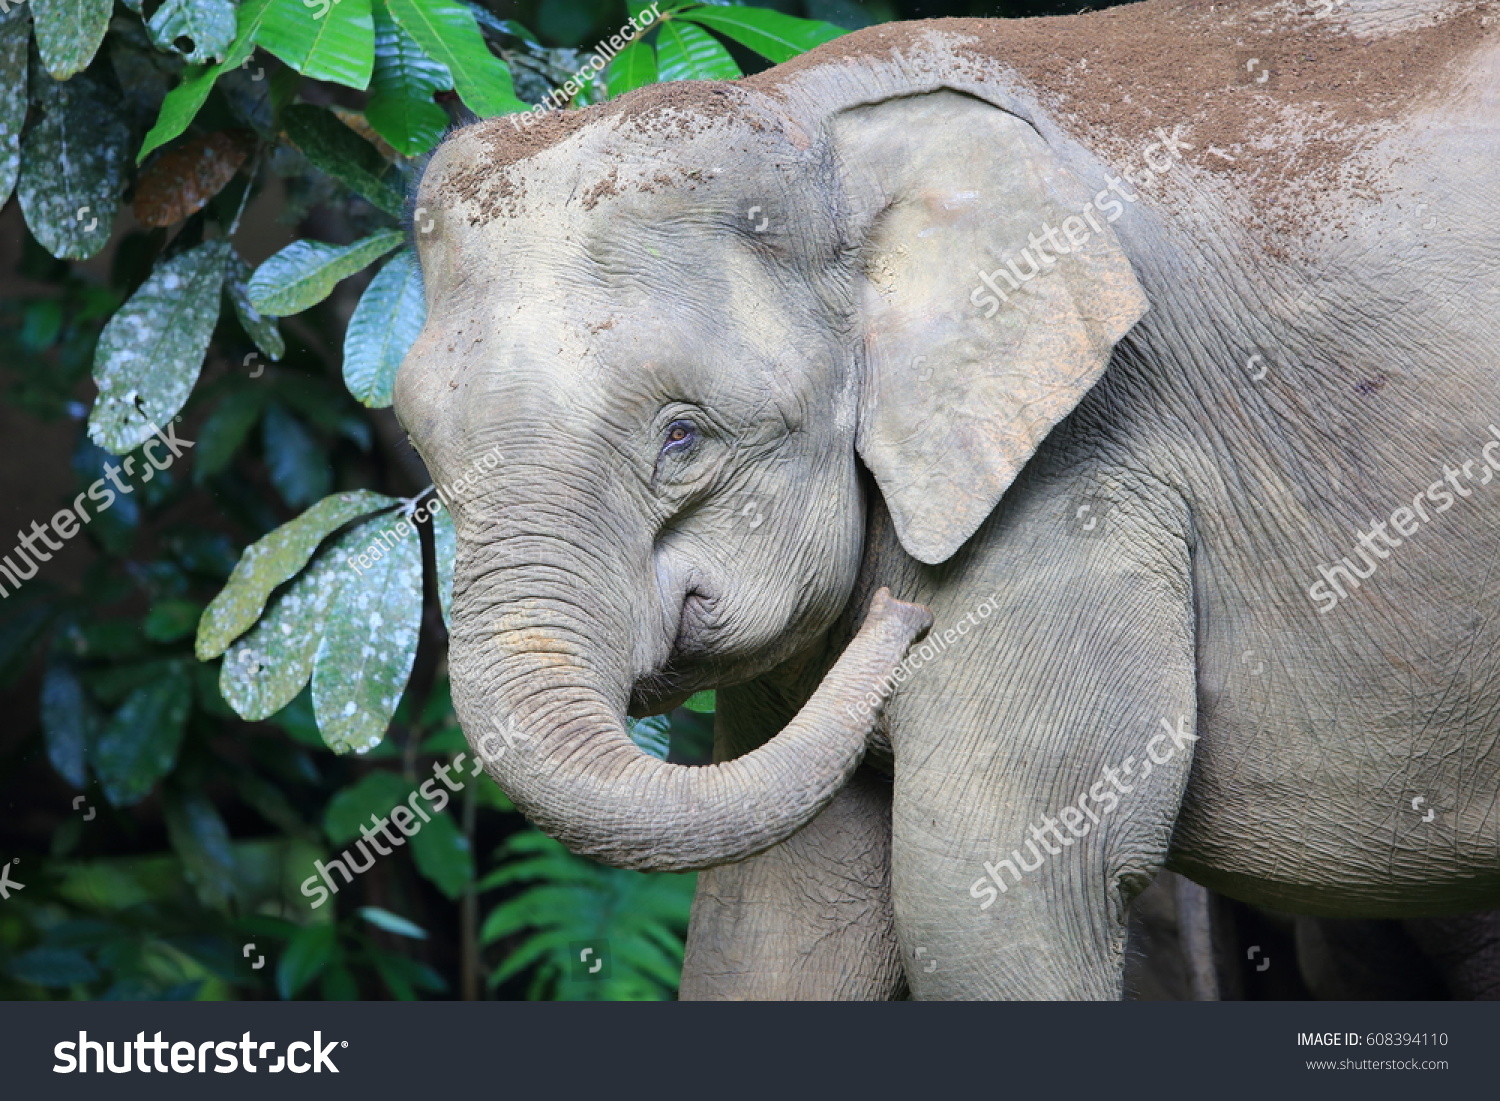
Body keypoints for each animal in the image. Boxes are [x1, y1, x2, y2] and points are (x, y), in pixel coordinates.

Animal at [396, 0, 1500, 1002]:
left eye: (683, 438)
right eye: (419, 443)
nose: (902, 620)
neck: (819, 123)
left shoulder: (1090, 462)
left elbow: (994, 891)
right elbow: (775, 921)